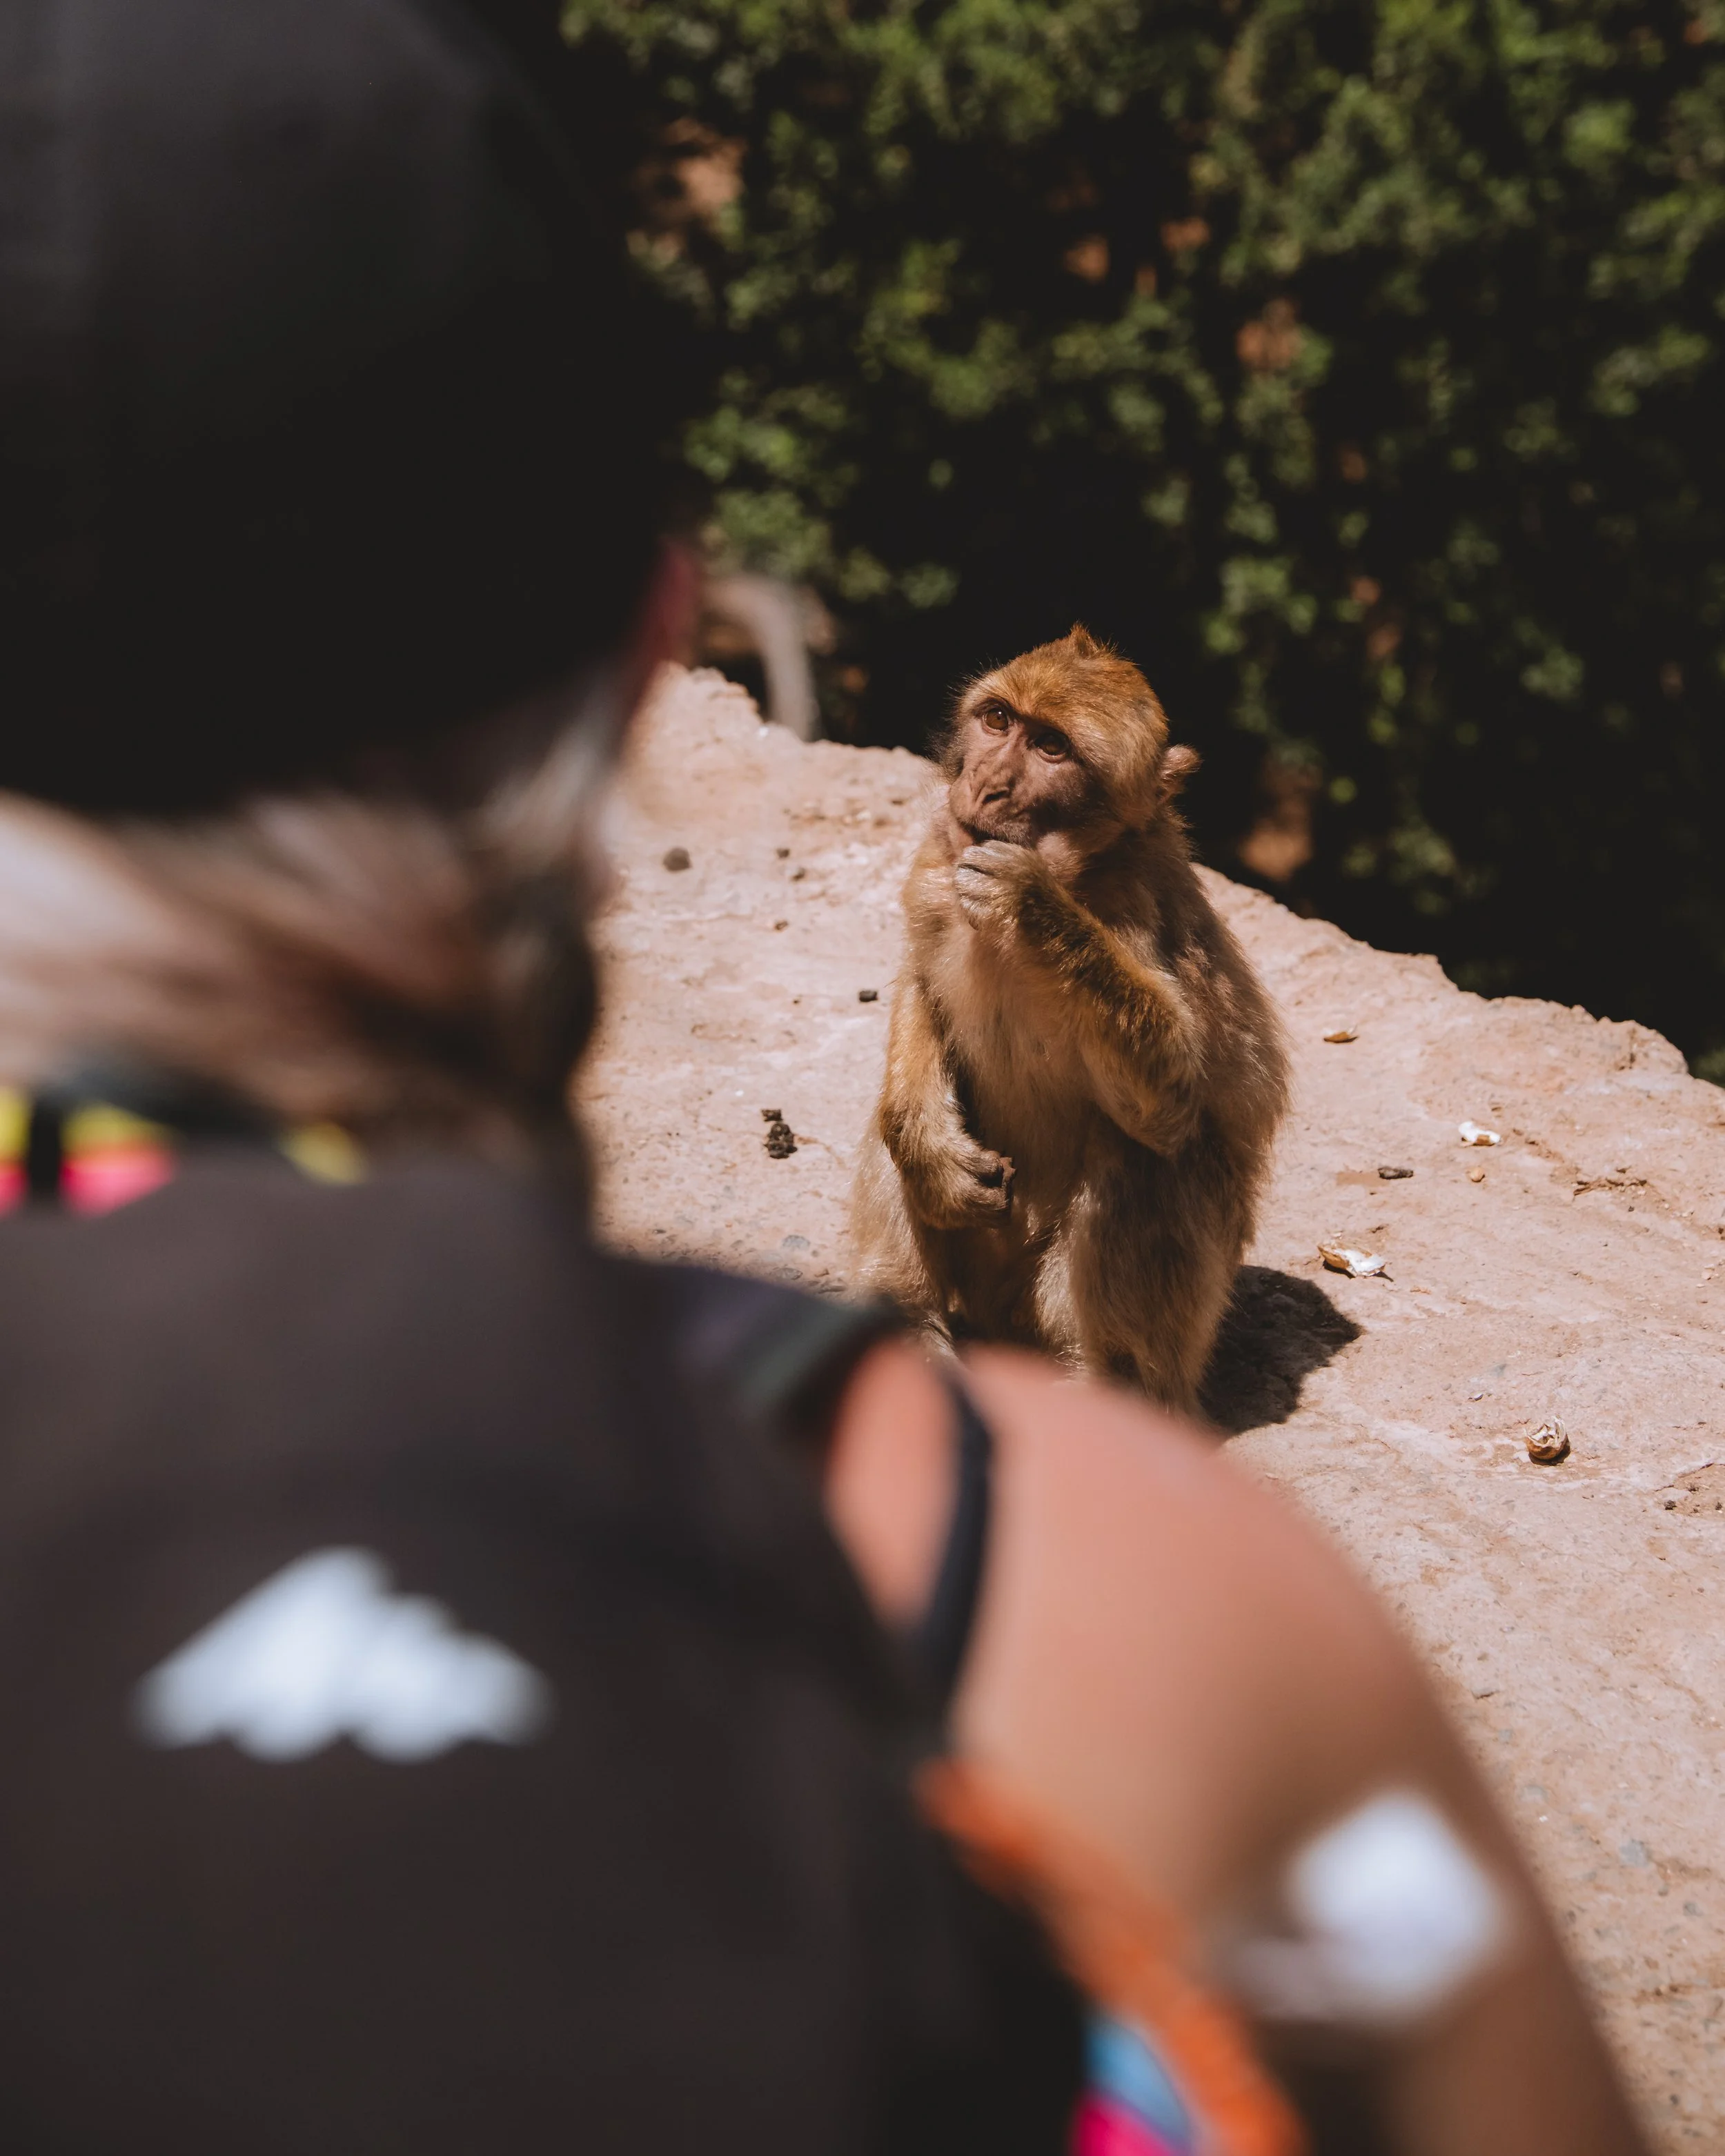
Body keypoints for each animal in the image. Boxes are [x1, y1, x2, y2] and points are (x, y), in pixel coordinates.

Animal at [851, 626, 1288, 1413]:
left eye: (1052, 747)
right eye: (998, 720)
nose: (987, 783)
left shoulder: (1142, 917)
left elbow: (1172, 1103)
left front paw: (1032, 901)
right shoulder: (934, 870)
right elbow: (920, 990)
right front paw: (928, 1150)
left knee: (1147, 1160)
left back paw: (1109, 1392)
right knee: (893, 1125)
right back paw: (905, 1334)